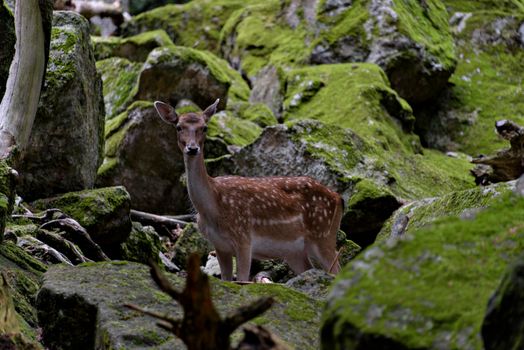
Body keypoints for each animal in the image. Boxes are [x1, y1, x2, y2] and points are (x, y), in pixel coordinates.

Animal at [155, 99, 344, 282]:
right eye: (179, 127)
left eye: (205, 127)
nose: (193, 148)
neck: (214, 207)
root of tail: (338, 198)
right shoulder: (219, 245)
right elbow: (226, 280)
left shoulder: (244, 237)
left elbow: (242, 279)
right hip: (295, 251)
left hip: (323, 234)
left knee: (337, 269)